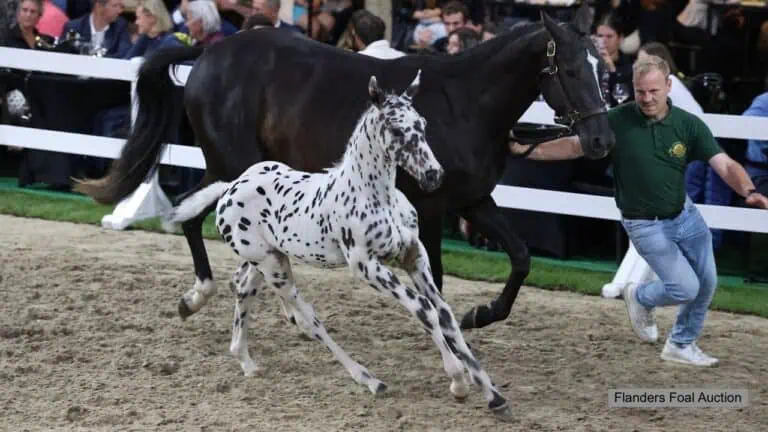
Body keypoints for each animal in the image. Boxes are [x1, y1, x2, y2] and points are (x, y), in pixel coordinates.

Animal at [74, 4, 615, 331]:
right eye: (570, 69)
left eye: (602, 67)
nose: (600, 140)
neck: (462, 104)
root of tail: (209, 51)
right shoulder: (430, 205)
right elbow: (437, 276)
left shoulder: (470, 201)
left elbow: (520, 257)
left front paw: (479, 315)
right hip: (235, 169)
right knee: (198, 220)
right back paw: (211, 296)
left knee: (191, 217)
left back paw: (209, 297)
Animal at [162, 72, 514, 421]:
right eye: (397, 129)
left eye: (422, 124)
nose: (433, 175)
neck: (374, 195)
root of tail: (230, 187)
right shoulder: (366, 266)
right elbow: (423, 308)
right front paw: (458, 378)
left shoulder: (413, 254)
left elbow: (444, 313)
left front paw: (492, 394)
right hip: (274, 268)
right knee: (310, 319)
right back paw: (369, 380)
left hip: (268, 259)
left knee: (243, 288)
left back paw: (245, 360)